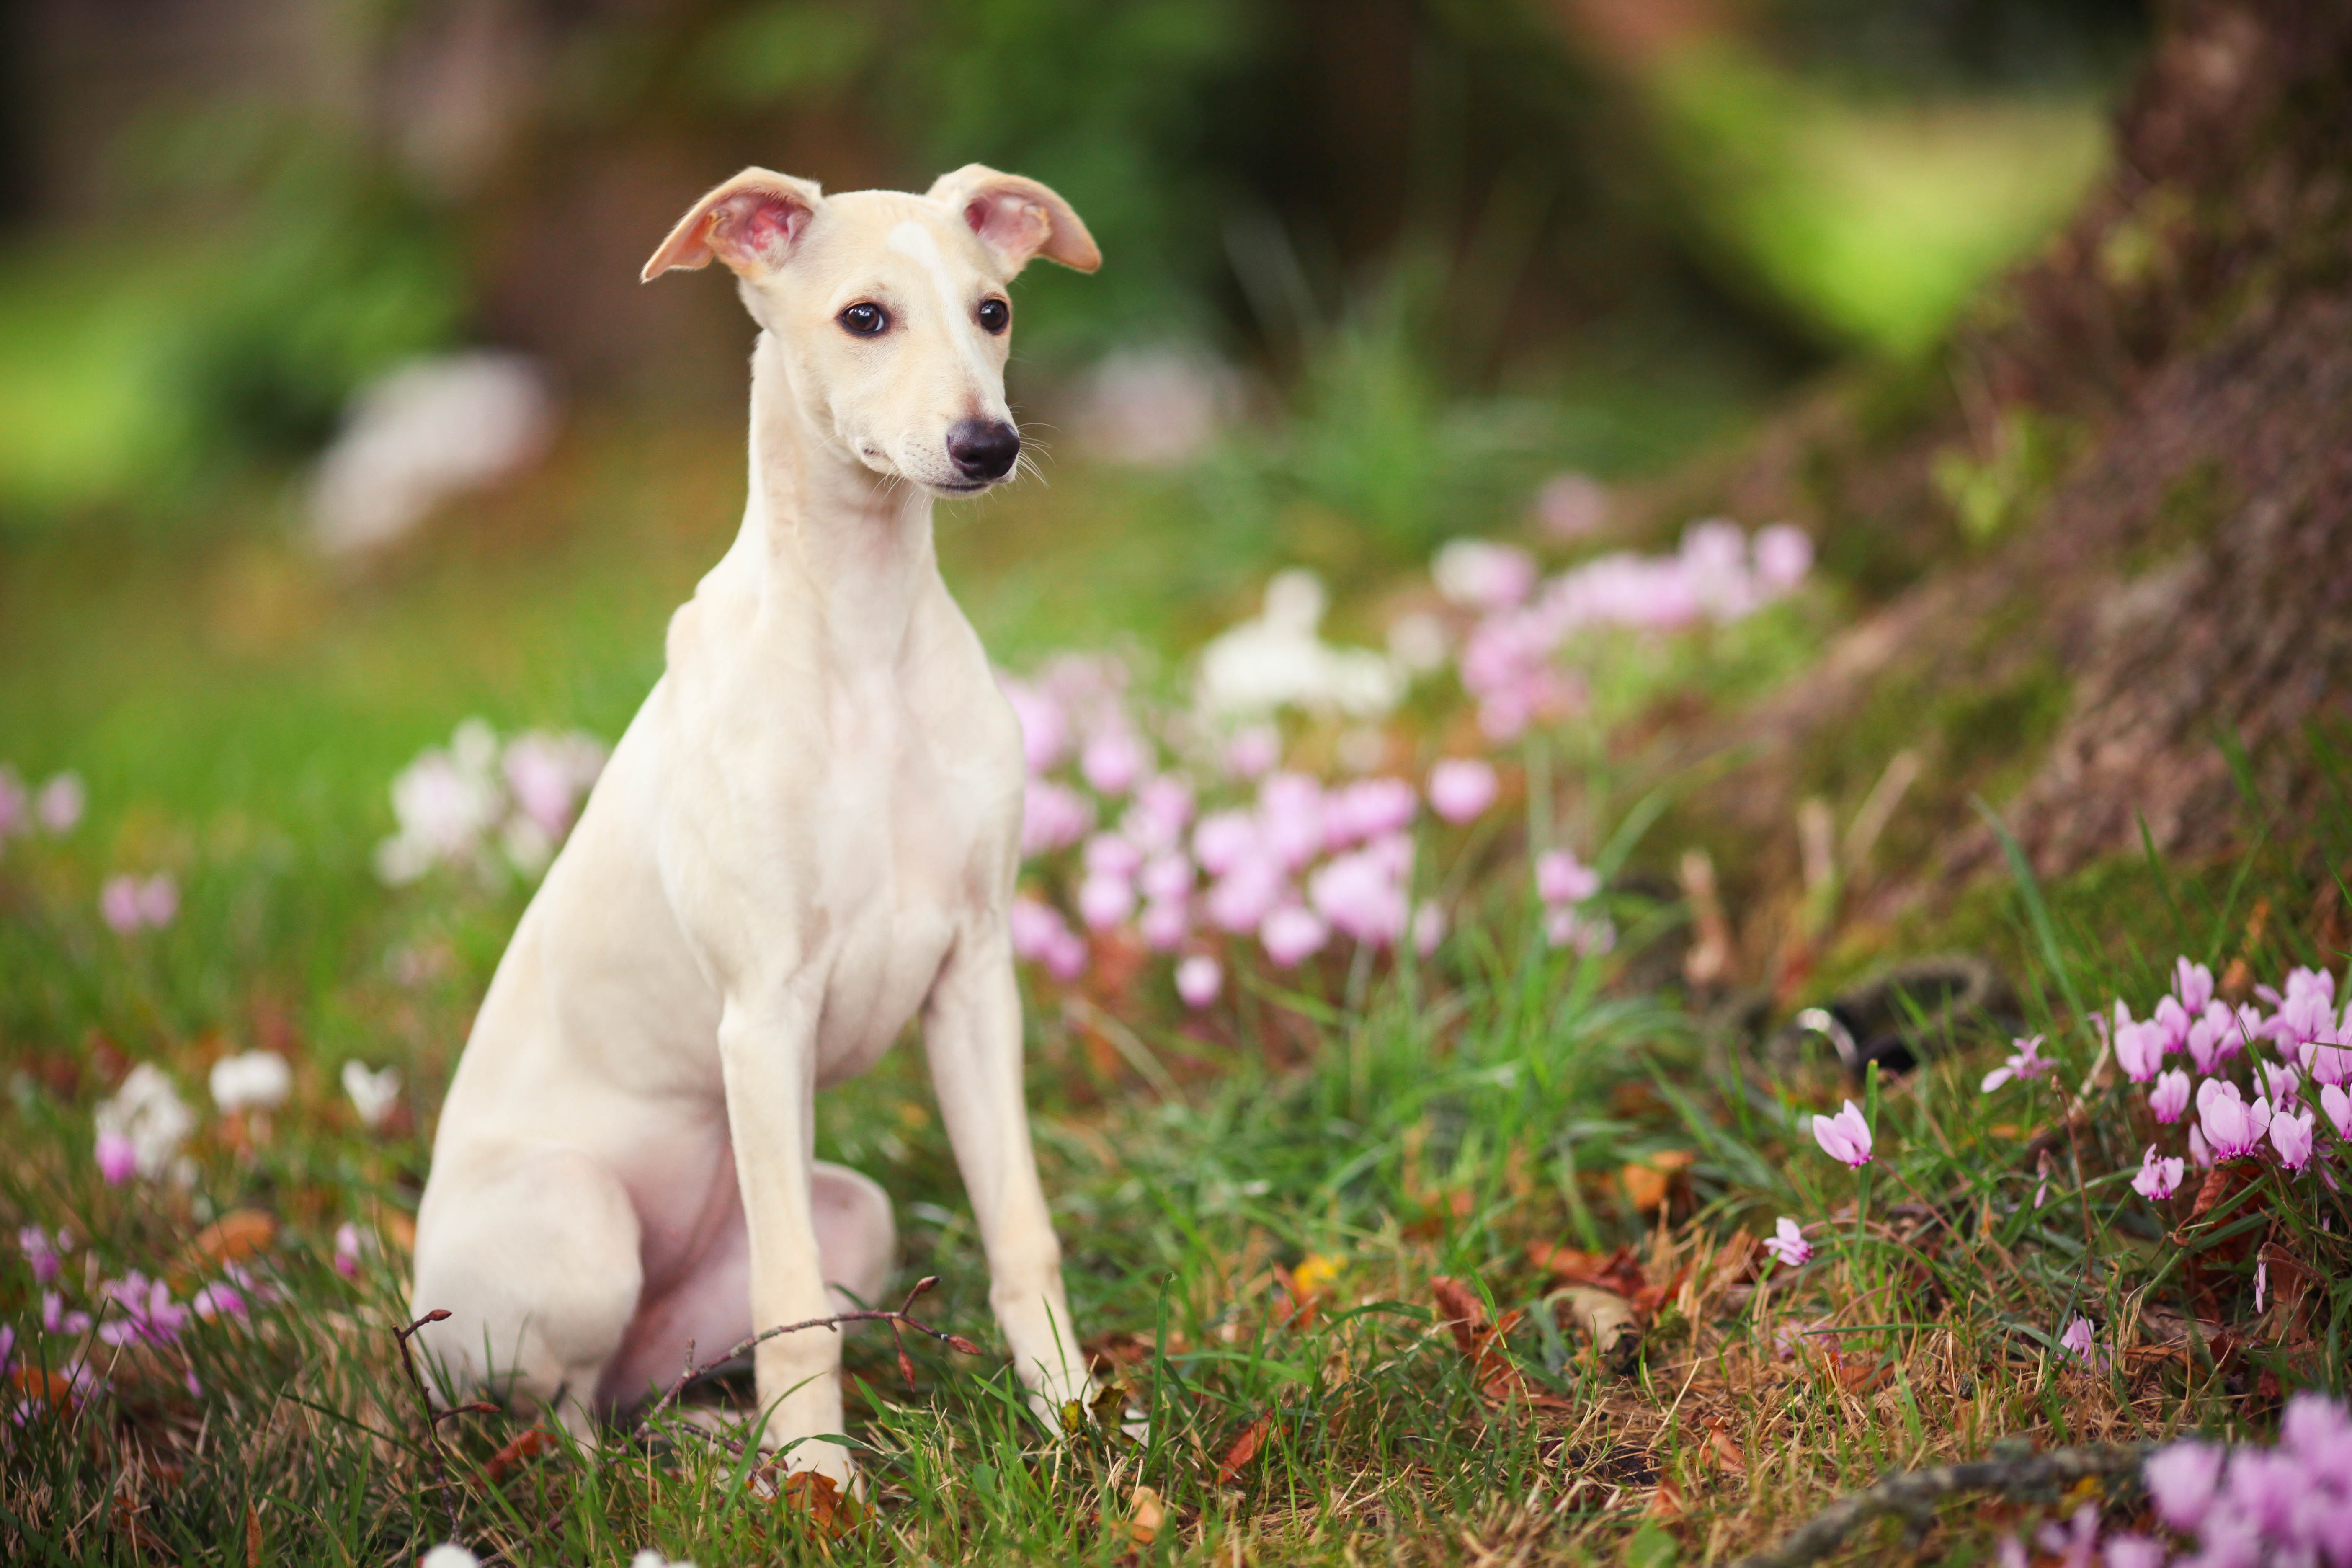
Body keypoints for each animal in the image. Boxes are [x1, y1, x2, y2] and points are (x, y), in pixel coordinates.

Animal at [409, 160, 1105, 1485]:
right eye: (864, 317)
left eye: (993, 310)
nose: (988, 445)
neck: (865, 639)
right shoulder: (763, 1013)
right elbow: (794, 1310)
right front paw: (824, 1491)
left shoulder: (975, 975)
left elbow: (1023, 1233)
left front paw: (1079, 1427)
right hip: (579, 1232)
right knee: (560, 1415)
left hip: (852, 1218)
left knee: (641, 1383)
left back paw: (716, 1437)